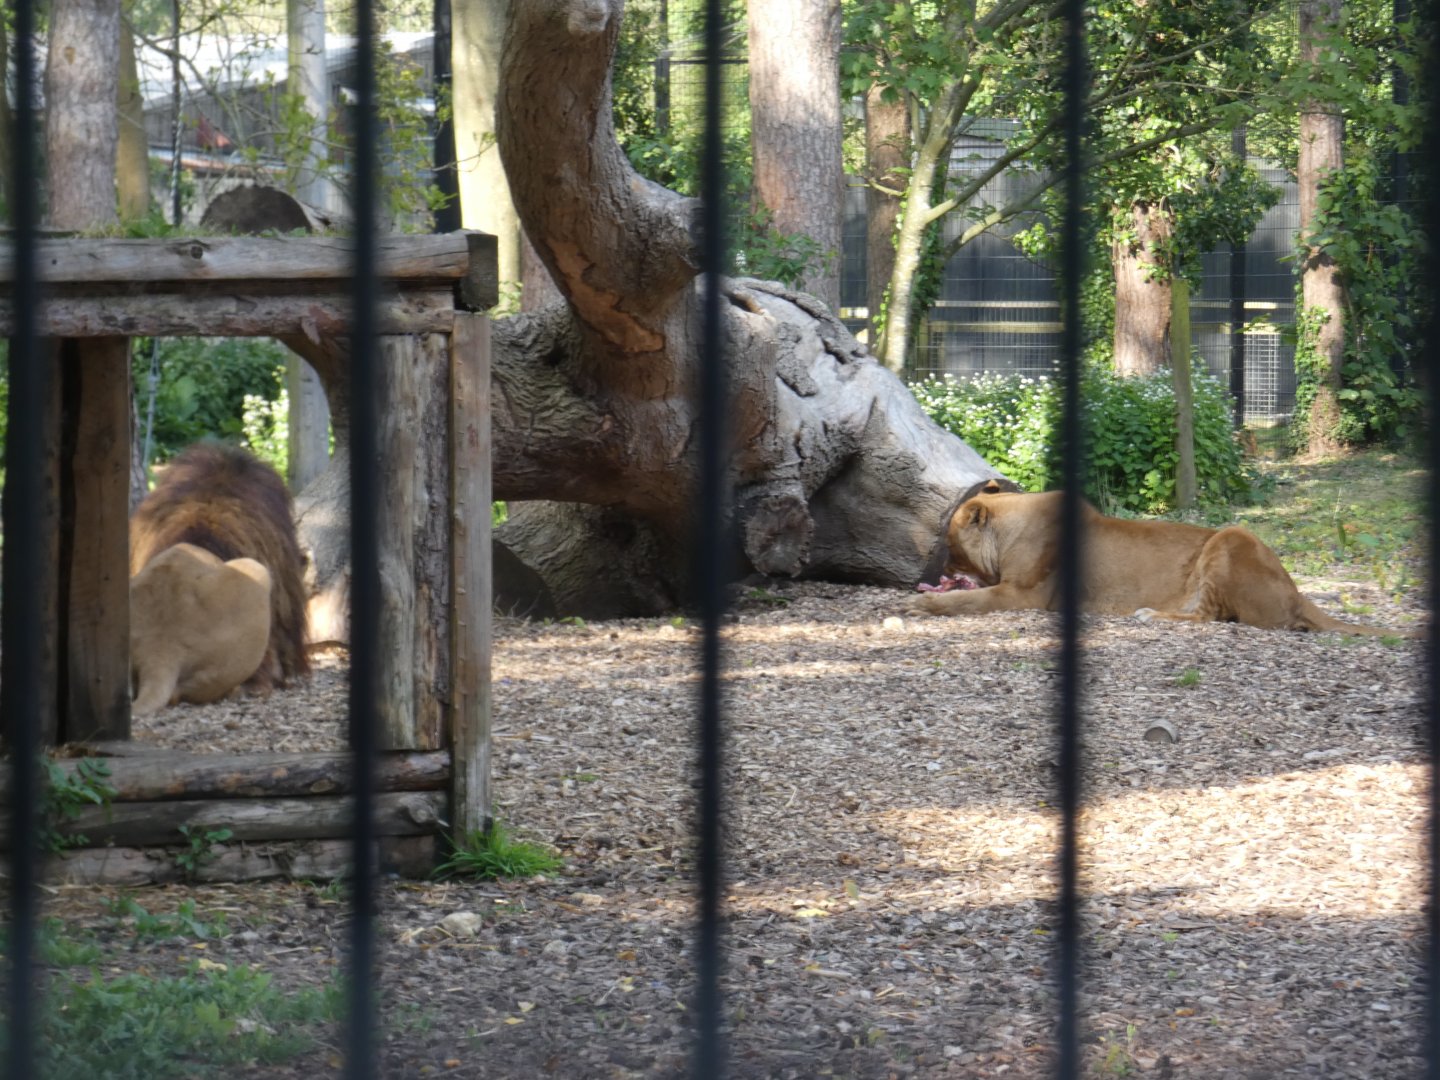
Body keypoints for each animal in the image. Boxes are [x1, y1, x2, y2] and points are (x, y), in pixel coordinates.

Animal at [908, 482, 1419, 638]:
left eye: (949, 547)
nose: (932, 572)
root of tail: (1296, 592)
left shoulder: (1024, 595)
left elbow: (972, 601)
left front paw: (925, 604)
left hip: (1231, 537)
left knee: (1211, 616)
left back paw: (1149, 615)